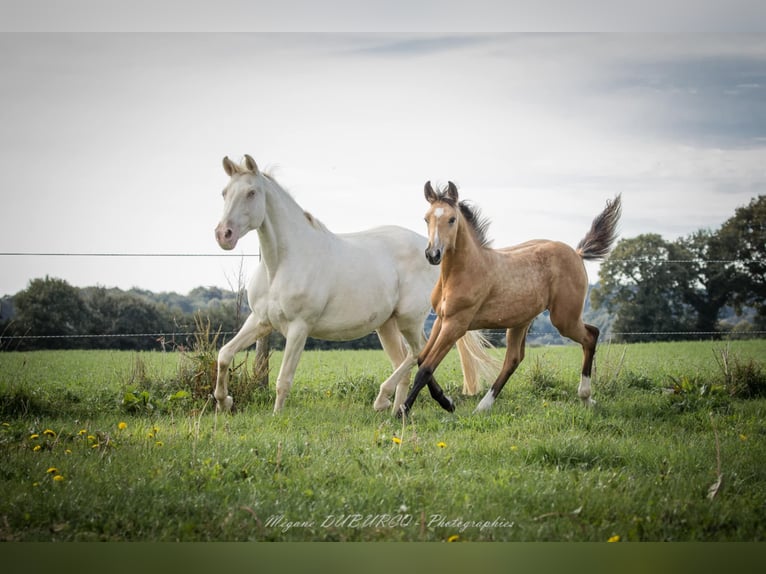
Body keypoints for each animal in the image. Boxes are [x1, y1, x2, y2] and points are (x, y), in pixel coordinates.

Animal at [213, 155, 495, 414]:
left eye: (251, 193)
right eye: (224, 192)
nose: (223, 235)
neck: (281, 264)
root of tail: (434, 252)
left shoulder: (299, 327)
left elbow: (284, 380)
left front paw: (276, 417)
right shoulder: (260, 321)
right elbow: (224, 354)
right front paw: (225, 401)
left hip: (409, 320)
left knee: (419, 352)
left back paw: (385, 400)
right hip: (387, 325)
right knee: (405, 359)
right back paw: (398, 411)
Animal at [398, 181, 622, 417]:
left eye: (452, 219)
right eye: (426, 218)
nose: (433, 254)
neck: (464, 270)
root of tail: (577, 254)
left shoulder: (456, 324)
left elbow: (426, 368)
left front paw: (403, 411)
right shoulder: (441, 320)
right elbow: (421, 359)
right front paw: (446, 402)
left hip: (564, 319)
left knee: (590, 336)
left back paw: (586, 397)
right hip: (522, 321)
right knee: (514, 359)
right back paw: (484, 406)